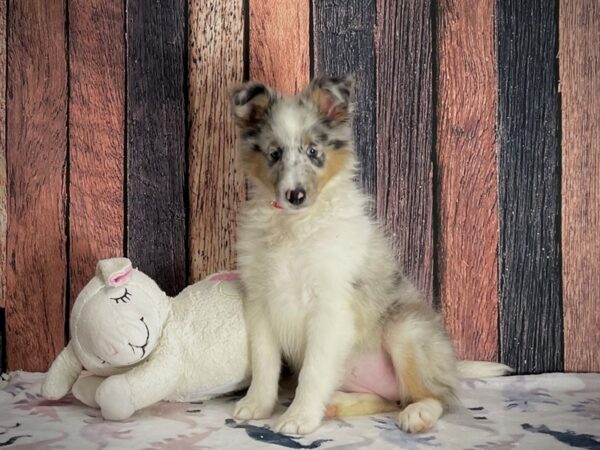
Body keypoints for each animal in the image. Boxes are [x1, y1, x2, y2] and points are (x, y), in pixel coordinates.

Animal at [227, 75, 508, 434]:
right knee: (388, 399)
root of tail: (452, 365)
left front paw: (299, 417)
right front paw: (257, 405)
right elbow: (265, 364)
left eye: (313, 152)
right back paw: (336, 404)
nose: (295, 195)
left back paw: (418, 414)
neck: (295, 224)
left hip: (407, 329)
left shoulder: (330, 306)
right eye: (274, 154)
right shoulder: (261, 302)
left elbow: (313, 372)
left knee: (436, 397)